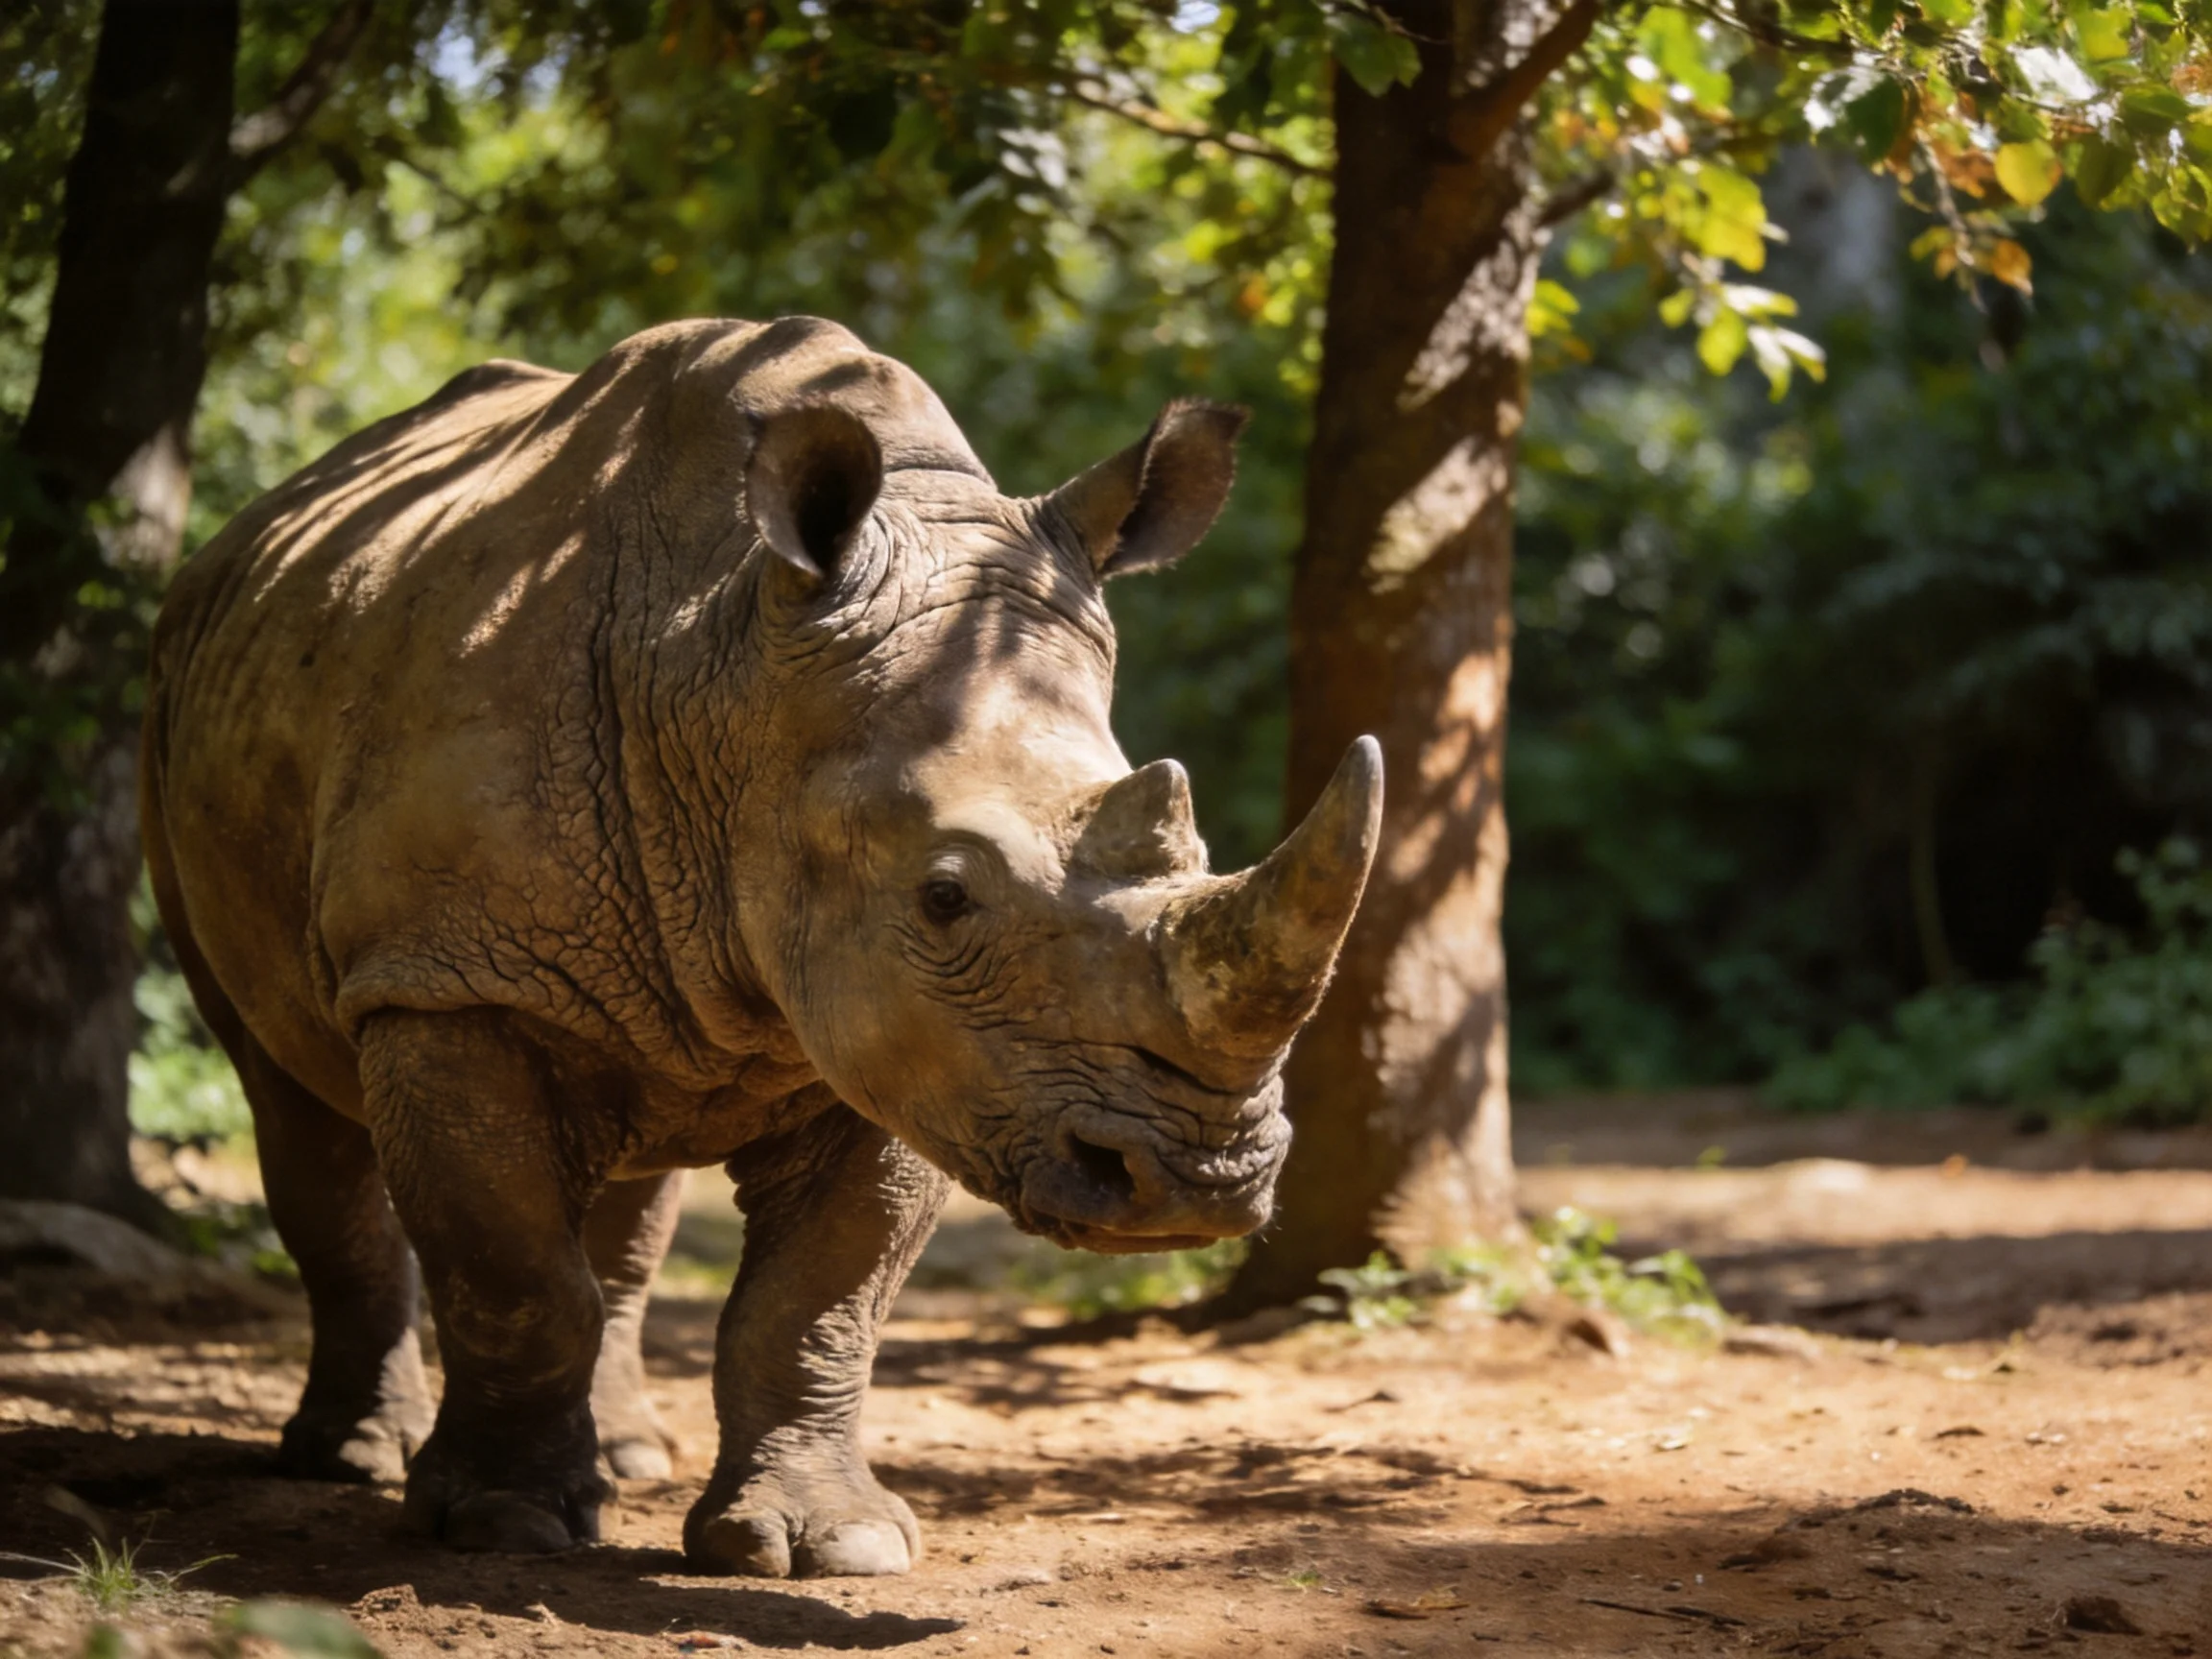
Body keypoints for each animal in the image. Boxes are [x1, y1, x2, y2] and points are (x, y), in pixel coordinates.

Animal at [140, 317, 1380, 1575]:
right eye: (946, 897)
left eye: (1198, 850)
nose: (1199, 1182)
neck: (729, 682)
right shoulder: (448, 982)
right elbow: (515, 1273)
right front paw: (502, 1525)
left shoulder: (922, 1047)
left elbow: (816, 1299)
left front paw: (827, 1545)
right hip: (175, 719)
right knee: (290, 1099)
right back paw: (352, 1459)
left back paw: (630, 1459)